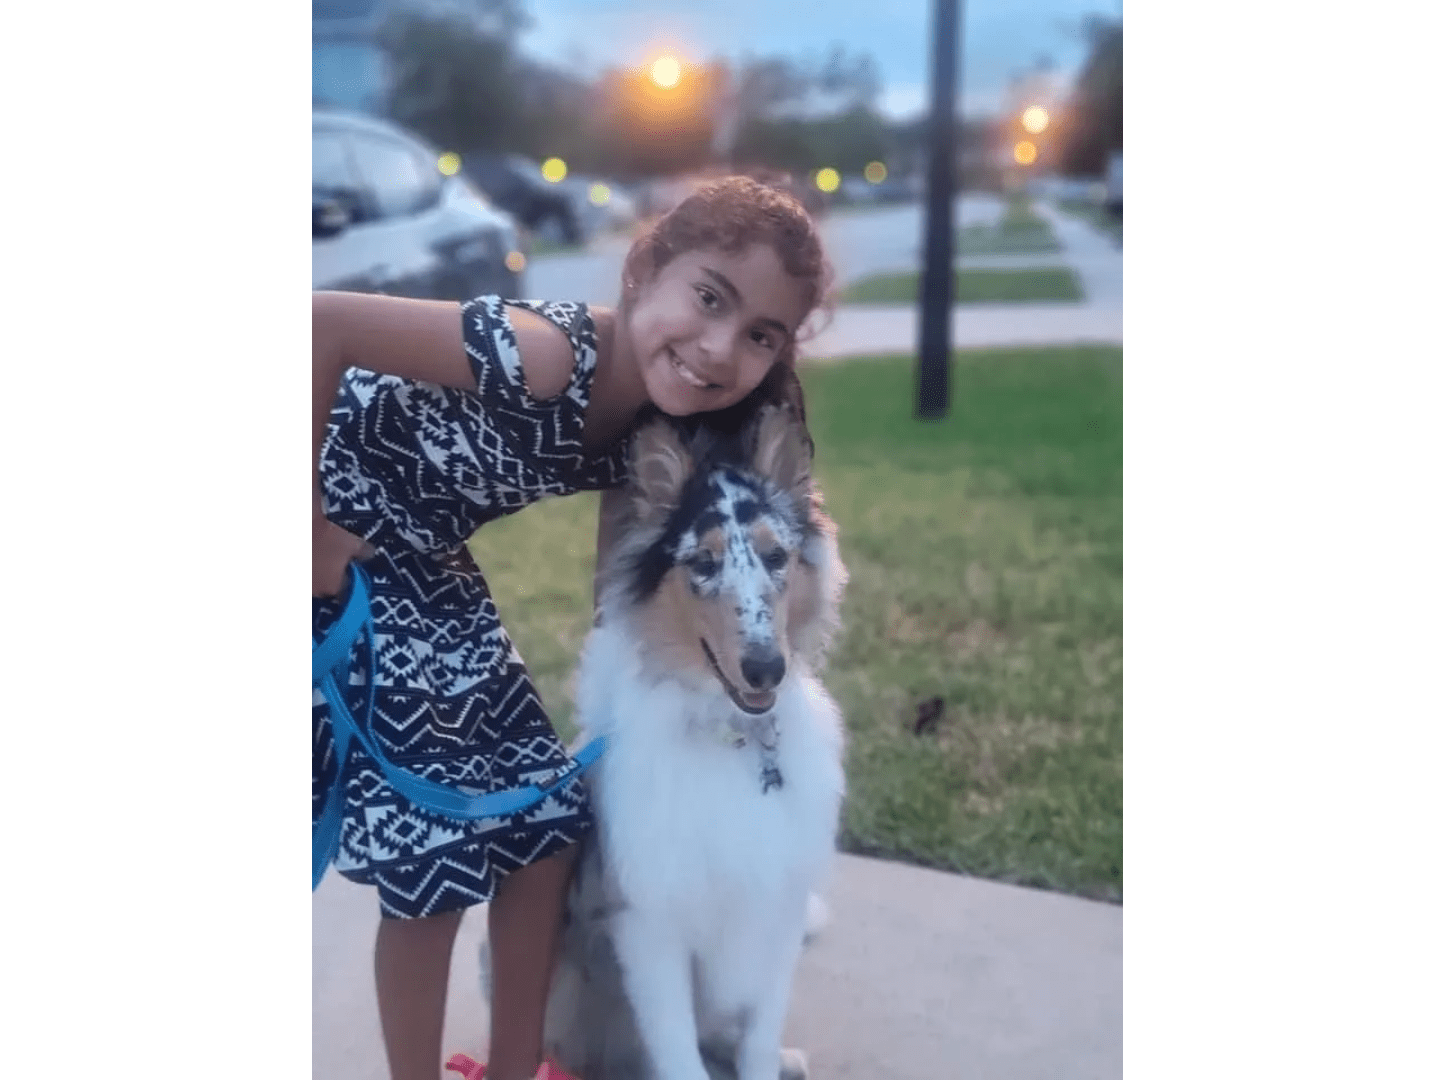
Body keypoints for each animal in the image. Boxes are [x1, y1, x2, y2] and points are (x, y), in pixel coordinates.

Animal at [544, 403, 846, 1077]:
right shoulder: (650, 926)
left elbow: (758, 1032)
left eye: (776, 556)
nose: (766, 670)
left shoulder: (779, 909)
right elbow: (678, 1051)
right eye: (703, 564)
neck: (738, 738)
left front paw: (765, 1059)